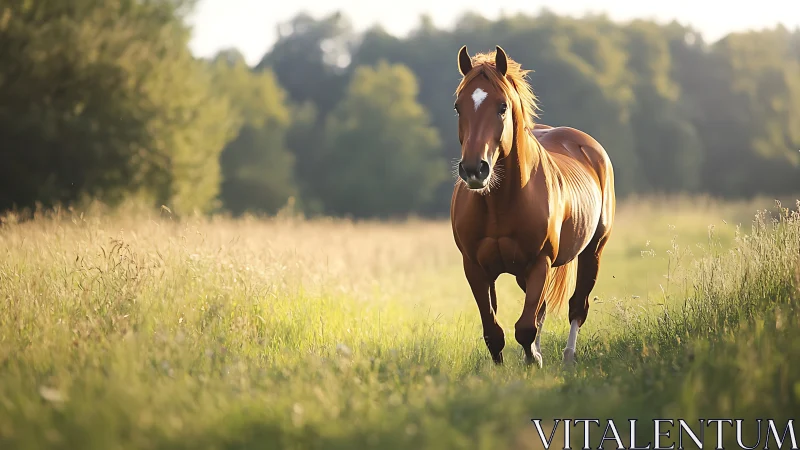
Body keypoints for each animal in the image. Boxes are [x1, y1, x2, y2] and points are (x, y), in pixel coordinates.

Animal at [450, 45, 616, 367]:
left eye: (502, 107)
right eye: (458, 107)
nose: (475, 169)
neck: (500, 203)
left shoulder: (540, 262)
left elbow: (525, 327)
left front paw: (533, 361)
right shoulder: (474, 268)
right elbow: (494, 332)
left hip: (593, 250)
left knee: (576, 307)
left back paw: (568, 358)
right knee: (541, 309)